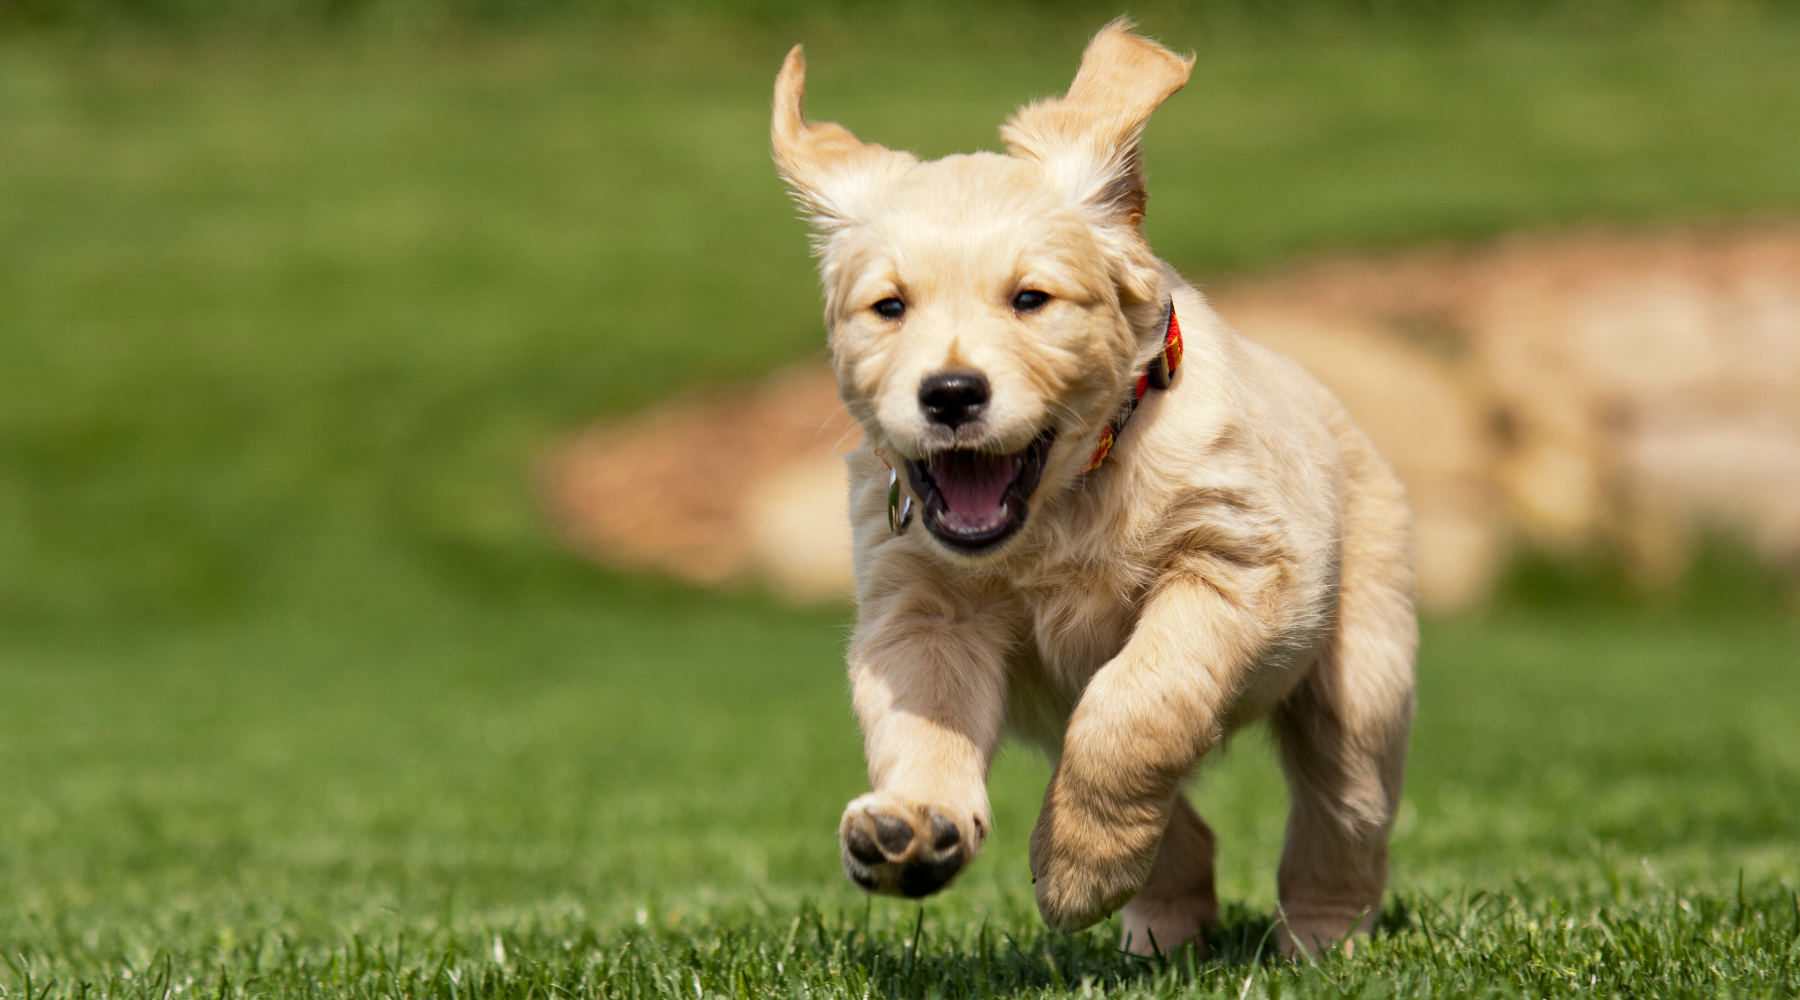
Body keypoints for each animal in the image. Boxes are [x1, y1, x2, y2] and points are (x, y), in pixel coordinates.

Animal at [774, 21, 1418, 964]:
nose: (951, 394)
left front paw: (1079, 870)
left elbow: (1137, 705)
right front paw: (915, 826)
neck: (1065, 501)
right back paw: (1160, 926)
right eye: (889, 307)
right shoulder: (922, 613)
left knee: (1343, 814)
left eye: (1030, 299)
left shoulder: (1234, 567)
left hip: (1361, 675)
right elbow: (928, 723)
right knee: (1185, 827)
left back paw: (1319, 941)